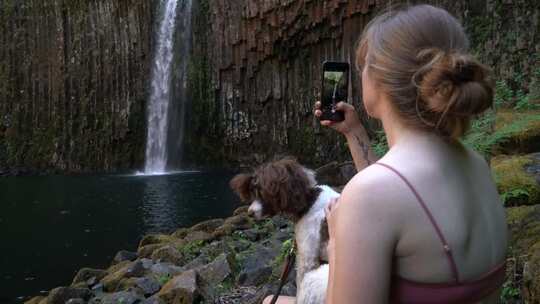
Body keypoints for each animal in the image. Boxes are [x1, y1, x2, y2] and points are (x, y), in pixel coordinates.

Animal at [230, 158, 340, 302]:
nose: (250, 213)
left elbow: (300, 286)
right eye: (253, 193)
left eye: (262, 193)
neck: (309, 202)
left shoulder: (307, 258)